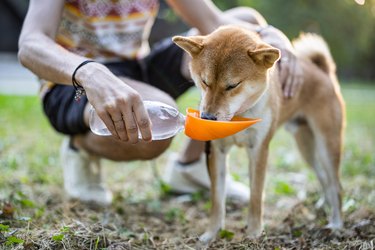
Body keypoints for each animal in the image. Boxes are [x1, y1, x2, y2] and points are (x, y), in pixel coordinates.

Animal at [173, 25, 346, 242]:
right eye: (205, 82)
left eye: (232, 85)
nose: (207, 117)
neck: (239, 115)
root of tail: (322, 72)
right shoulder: (217, 152)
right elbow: (217, 199)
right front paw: (211, 233)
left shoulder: (259, 150)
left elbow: (256, 197)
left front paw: (254, 233)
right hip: (306, 148)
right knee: (324, 178)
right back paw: (325, 206)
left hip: (326, 145)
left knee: (336, 185)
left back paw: (336, 224)